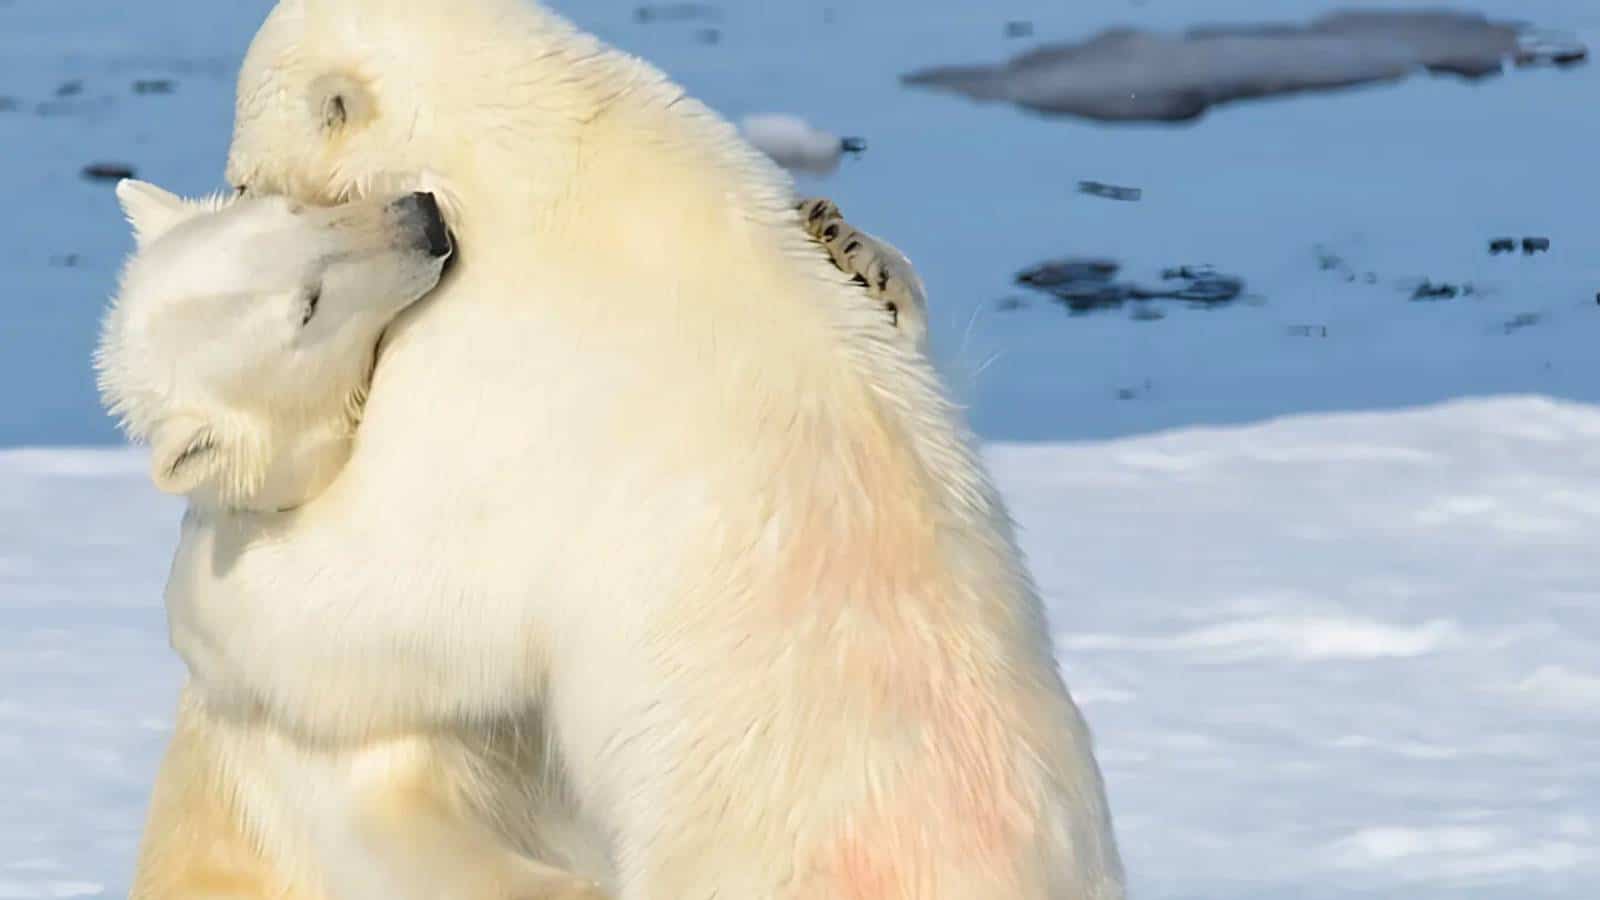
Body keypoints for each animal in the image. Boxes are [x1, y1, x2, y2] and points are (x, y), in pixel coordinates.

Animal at [155, 0, 1127, 897]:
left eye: (248, 181)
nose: (227, 190)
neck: (548, 154)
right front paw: (853, 247)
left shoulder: (489, 361)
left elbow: (400, 577)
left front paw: (202, 578)